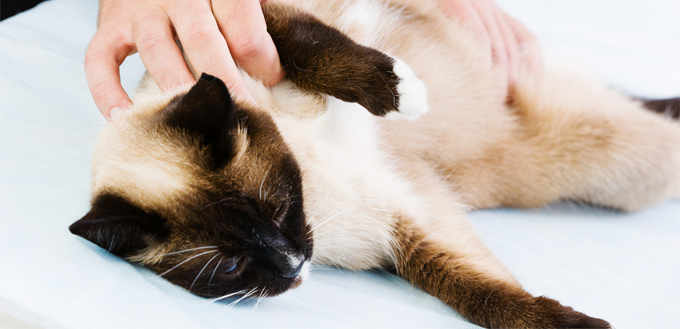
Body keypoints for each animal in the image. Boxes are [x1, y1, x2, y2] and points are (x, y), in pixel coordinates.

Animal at [69, 1, 680, 326]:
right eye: (229, 267)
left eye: (279, 206)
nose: (291, 265)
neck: (310, 170)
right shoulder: (404, 229)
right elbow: (475, 291)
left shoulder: (252, 29)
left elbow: (315, 47)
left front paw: (398, 92)